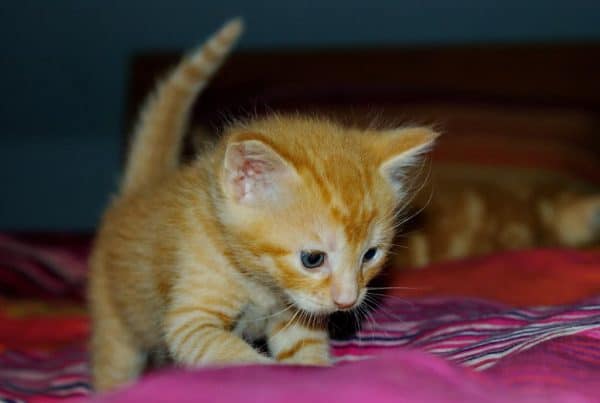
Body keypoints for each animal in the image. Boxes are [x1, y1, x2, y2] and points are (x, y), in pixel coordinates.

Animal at [88, 19, 436, 394]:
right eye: (312, 259)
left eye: (370, 255)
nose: (347, 301)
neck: (261, 284)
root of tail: (137, 191)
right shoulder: (190, 320)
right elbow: (230, 354)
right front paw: (264, 372)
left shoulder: (295, 317)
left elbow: (304, 350)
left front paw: (318, 374)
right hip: (113, 318)